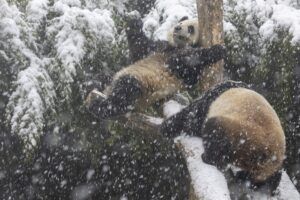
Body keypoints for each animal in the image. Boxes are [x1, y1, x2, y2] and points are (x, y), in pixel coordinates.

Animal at [84, 16, 225, 119]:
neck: (175, 46)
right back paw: (91, 84)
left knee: (125, 92)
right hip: (116, 77)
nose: (178, 27)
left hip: (140, 86)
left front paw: (218, 50)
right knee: (104, 77)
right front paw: (134, 21)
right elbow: (140, 49)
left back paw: (100, 106)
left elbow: (185, 64)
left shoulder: (184, 71)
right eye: (182, 21)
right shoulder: (158, 47)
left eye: (191, 28)